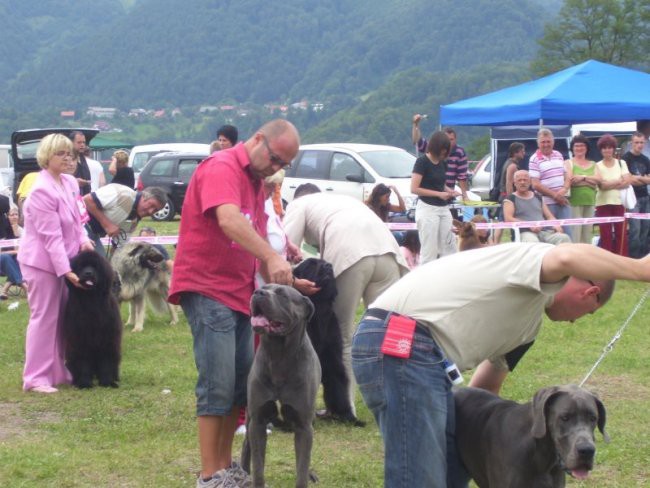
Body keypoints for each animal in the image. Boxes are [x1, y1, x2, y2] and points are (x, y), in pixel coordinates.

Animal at [62, 252, 123, 388]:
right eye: (82, 266)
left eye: (95, 267)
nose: (88, 273)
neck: (91, 300)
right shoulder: (79, 338)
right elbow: (83, 361)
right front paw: (84, 383)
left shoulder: (108, 337)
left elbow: (106, 360)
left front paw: (107, 382)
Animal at [292, 258, 362, 426]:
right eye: (311, 264)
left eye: (325, 262)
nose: (328, 266)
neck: (319, 309)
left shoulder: (333, 360)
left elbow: (339, 386)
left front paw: (347, 415)